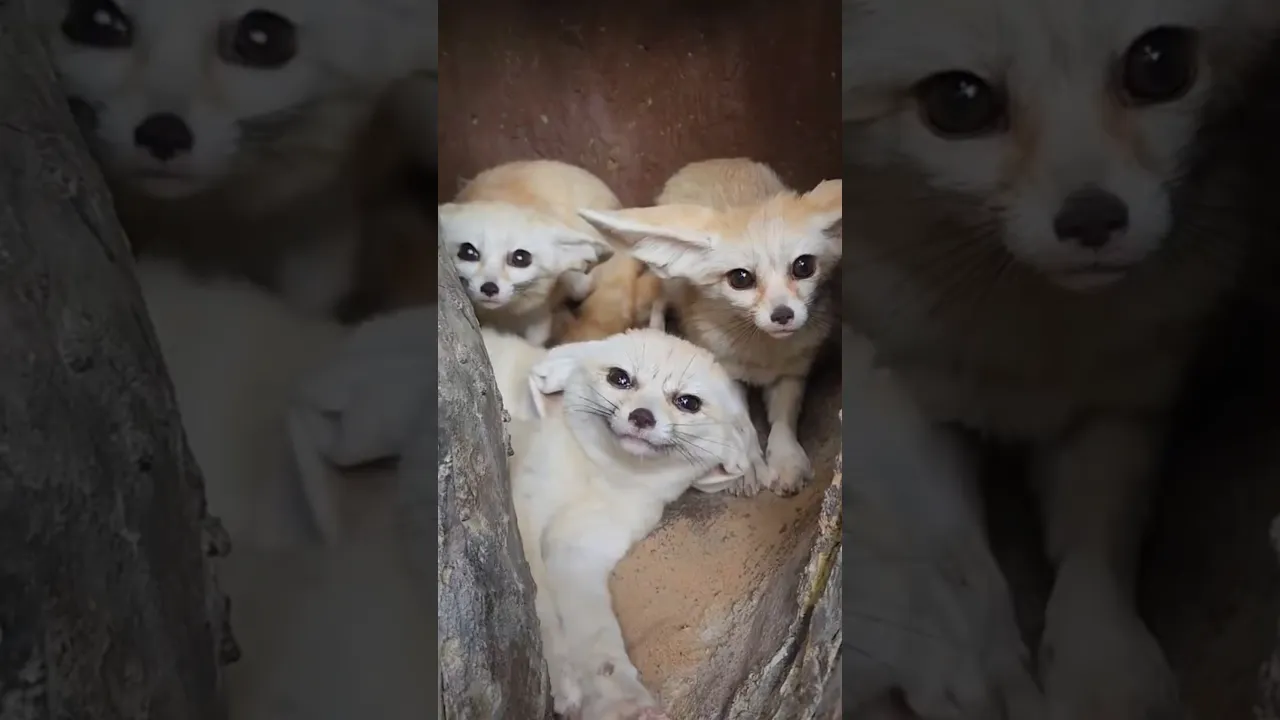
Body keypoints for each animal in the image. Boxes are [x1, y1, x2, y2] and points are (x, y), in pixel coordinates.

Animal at [579, 159, 842, 496]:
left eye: (803, 266)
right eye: (740, 278)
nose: (783, 315)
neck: (761, 352)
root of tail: (707, 162)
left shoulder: (793, 371)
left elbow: (784, 419)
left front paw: (786, 459)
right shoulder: (724, 372)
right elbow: (741, 422)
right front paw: (748, 465)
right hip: (668, 281)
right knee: (660, 303)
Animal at [842, 0, 1280, 717]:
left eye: (1159, 63)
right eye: (959, 102)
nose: (1093, 220)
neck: (1033, 345)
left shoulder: (1120, 394)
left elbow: (1101, 539)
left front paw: (1102, 665)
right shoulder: (885, 373)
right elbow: (947, 546)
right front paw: (977, 660)